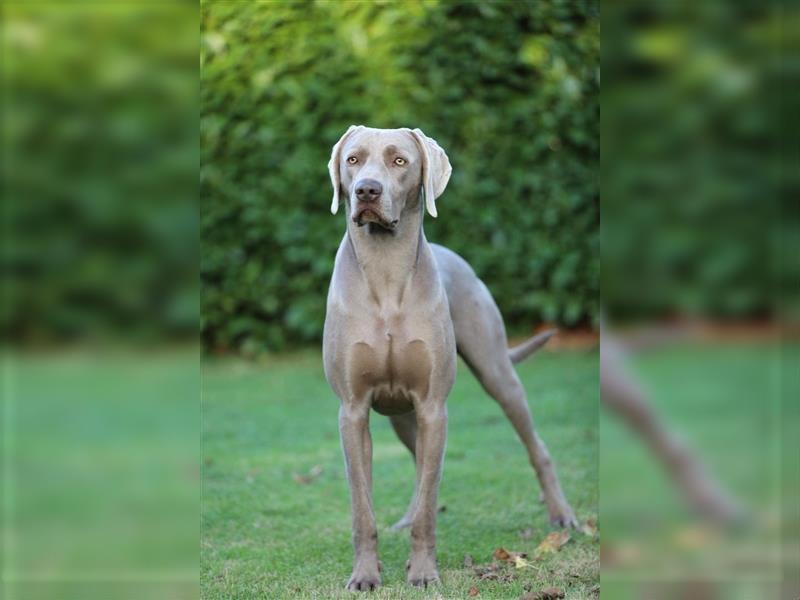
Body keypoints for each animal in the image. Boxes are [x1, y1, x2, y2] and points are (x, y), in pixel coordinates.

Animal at [322, 125, 580, 592]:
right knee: (415, 462)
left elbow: (430, 500)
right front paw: (365, 574)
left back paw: (562, 514)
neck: (385, 270)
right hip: (400, 413)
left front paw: (424, 572)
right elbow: (362, 508)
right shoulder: (352, 410)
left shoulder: (432, 407)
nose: (367, 190)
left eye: (399, 161)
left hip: (497, 373)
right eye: (352, 160)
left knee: (535, 446)